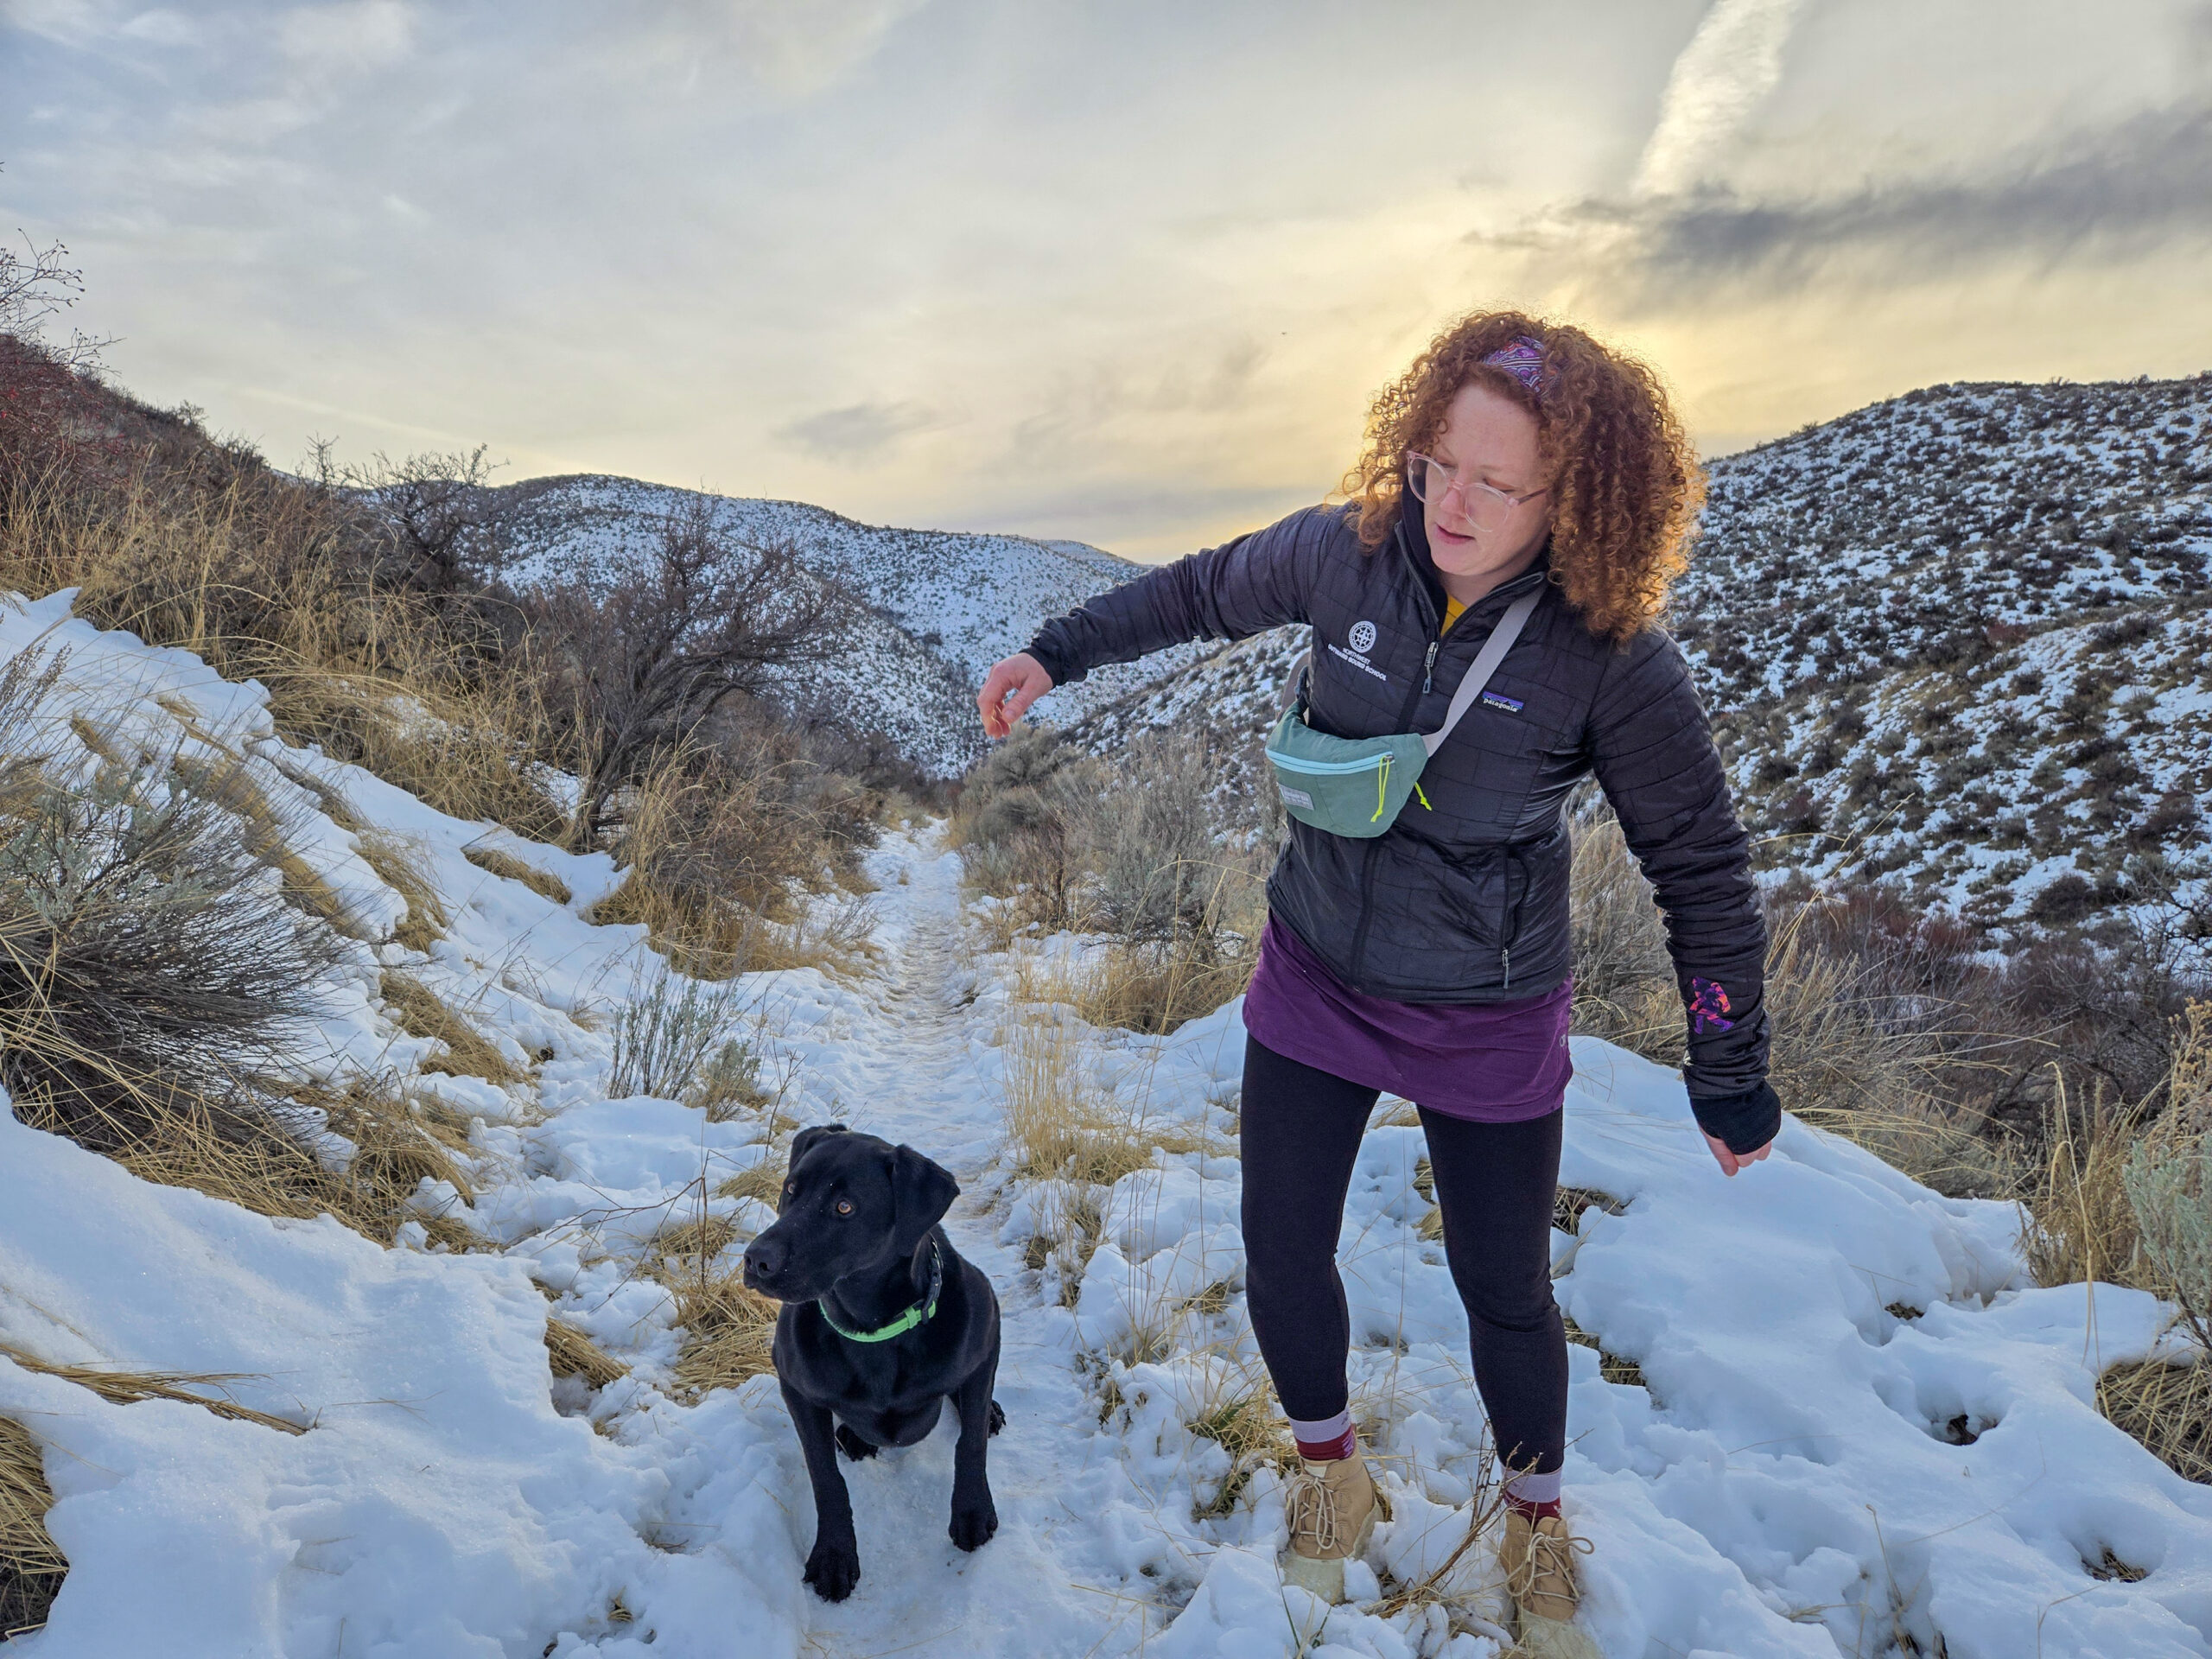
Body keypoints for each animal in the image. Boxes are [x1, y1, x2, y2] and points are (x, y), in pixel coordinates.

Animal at [743, 1123, 1004, 1601]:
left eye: (845, 1207)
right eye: (791, 1189)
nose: (756, 1259)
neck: (872, 1331)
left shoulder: (986, 1335)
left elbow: (970, 1442)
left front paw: (973, 1511)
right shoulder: (795, 1387)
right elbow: (826, 1476)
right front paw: (834, 1555)